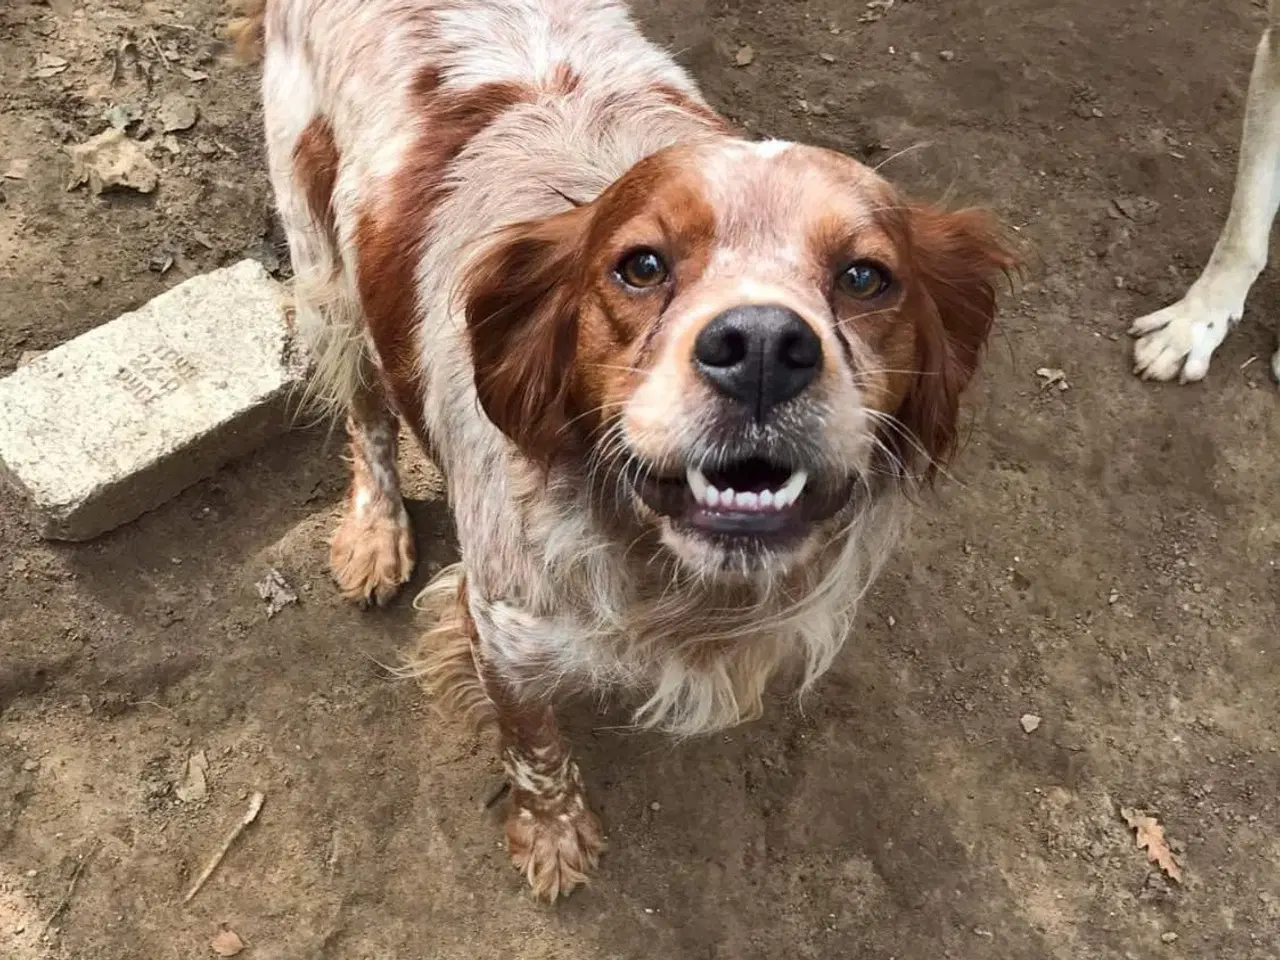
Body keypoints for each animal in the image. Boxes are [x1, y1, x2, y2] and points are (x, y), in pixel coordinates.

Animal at [227, 0, 1008, 901]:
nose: (763, 348)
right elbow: (532, 745)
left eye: (865, 277)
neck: (665, 573)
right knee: (367, 417)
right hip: (327, 271)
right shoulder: (502, 626)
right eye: (641, 266)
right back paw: (375, 532)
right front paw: (553, 833)